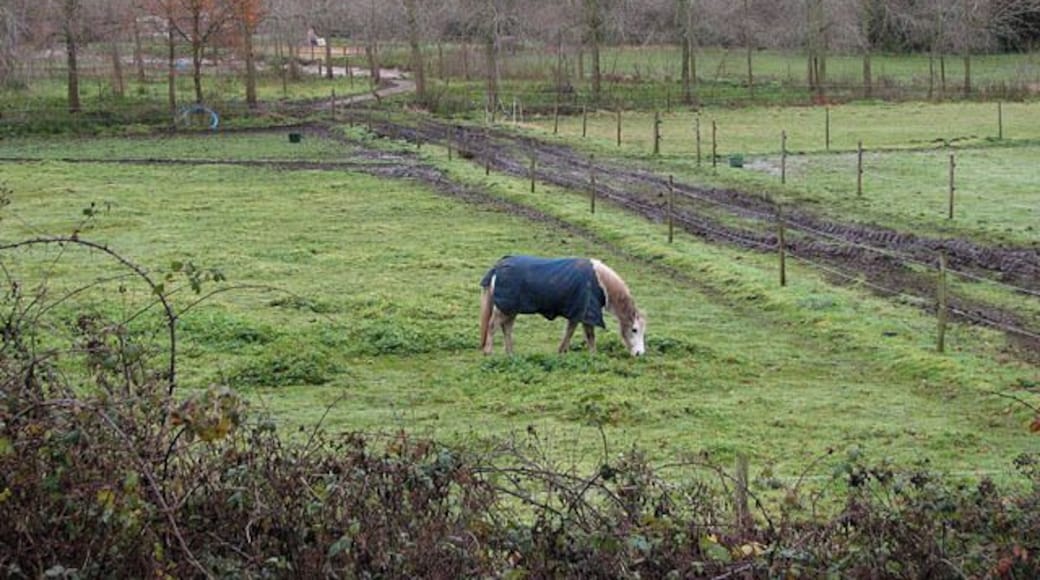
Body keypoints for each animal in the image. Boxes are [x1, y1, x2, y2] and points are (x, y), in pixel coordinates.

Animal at [479, 255, 647, 356]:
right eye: (634, 329)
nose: (640, 353)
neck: (600, 282)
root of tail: (498, 268)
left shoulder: (576, 313)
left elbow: (570, 331)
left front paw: (562, 351)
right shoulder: (586, 312)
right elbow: (590, 335)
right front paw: (593, 355)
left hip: (510, 309)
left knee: (506, 328)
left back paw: (510, 353)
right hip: (504, 309)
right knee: (493, 326)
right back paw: (488, 352)